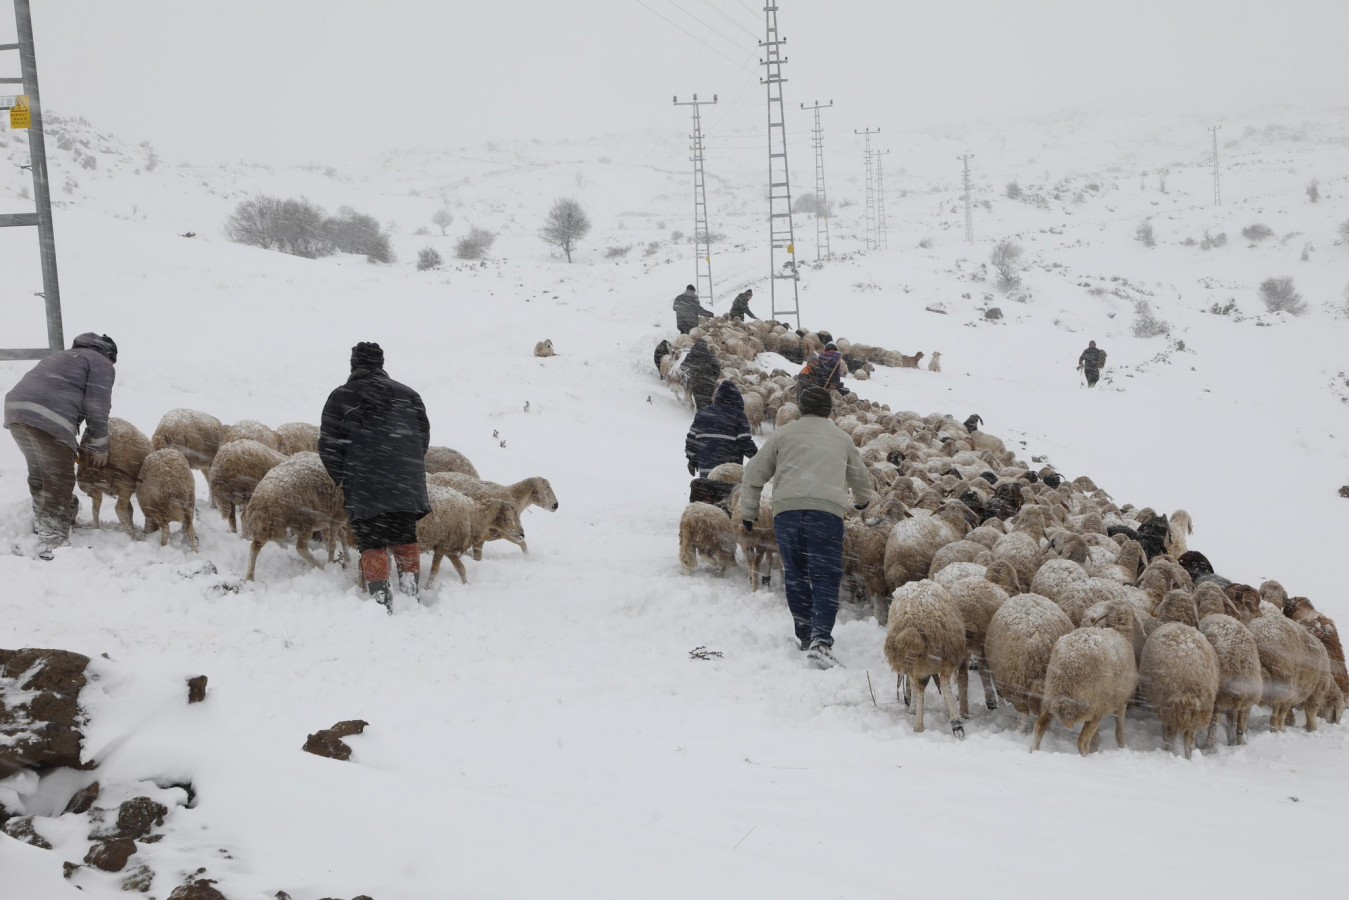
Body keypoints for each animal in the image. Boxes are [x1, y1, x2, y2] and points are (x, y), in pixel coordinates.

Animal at [884, 580, 971, 734]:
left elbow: (914, 686)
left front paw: (912, 709)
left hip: (929, 658)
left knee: (926, 686)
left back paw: (921, 725)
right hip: (947, 651)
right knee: (943, 682)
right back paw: (955, 723)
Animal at [1138, 623, 1224, 755]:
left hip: (1169, 707)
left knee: (1172, 737)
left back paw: (1170, 752)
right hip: (1196, 710)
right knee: (1189, 742)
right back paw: (1189, 756)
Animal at [1203, 585, 1262, 744]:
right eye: (1251, 603)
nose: (1260, 615)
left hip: (1219, 694)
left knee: (1214, 726)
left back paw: (1208, 745)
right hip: (1246, 698)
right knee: (1239, 728)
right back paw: (1238, 743)